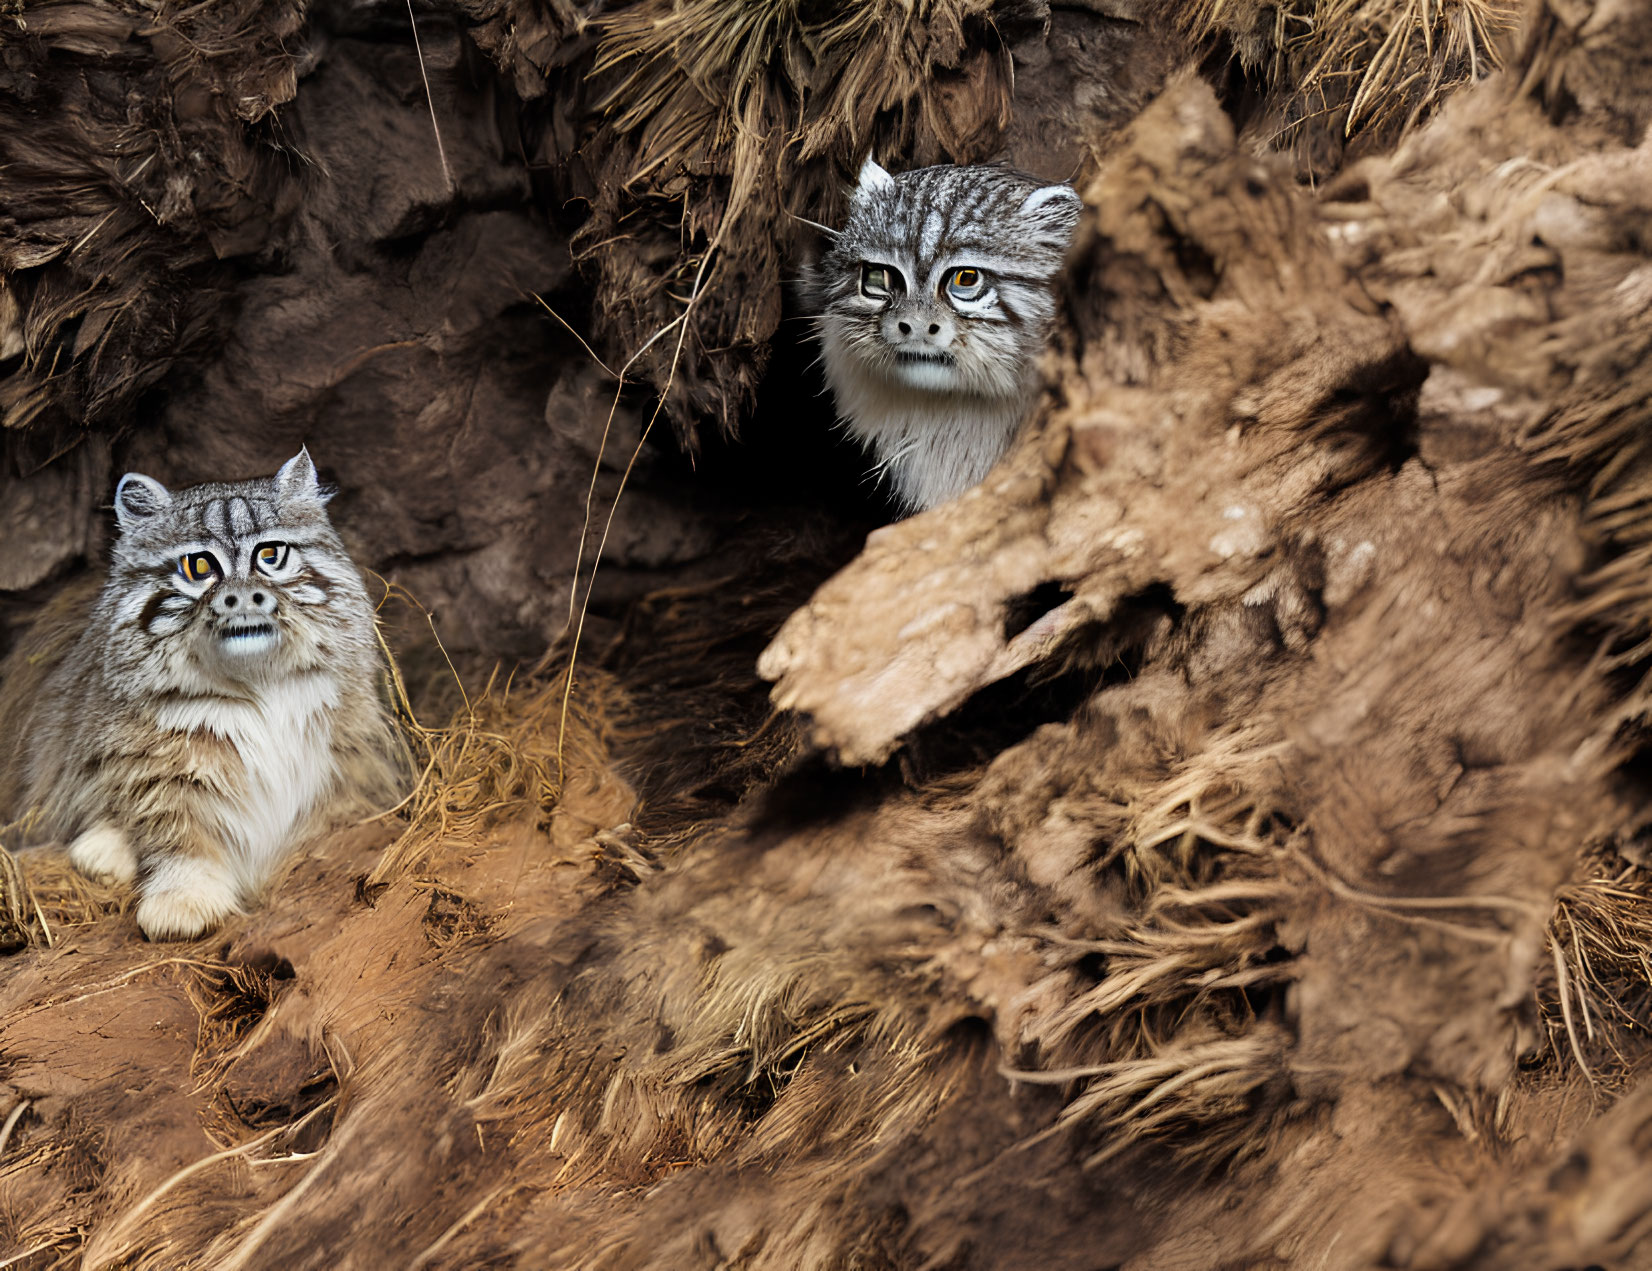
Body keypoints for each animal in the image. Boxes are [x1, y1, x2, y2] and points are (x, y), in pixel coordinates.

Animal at [0, 449, 409, 938]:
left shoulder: (349, 764)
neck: (258, 689)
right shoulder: (159, 775)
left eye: (270, 555)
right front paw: (182, 903)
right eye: (199, 567)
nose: (245, 598)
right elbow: (180, 839)